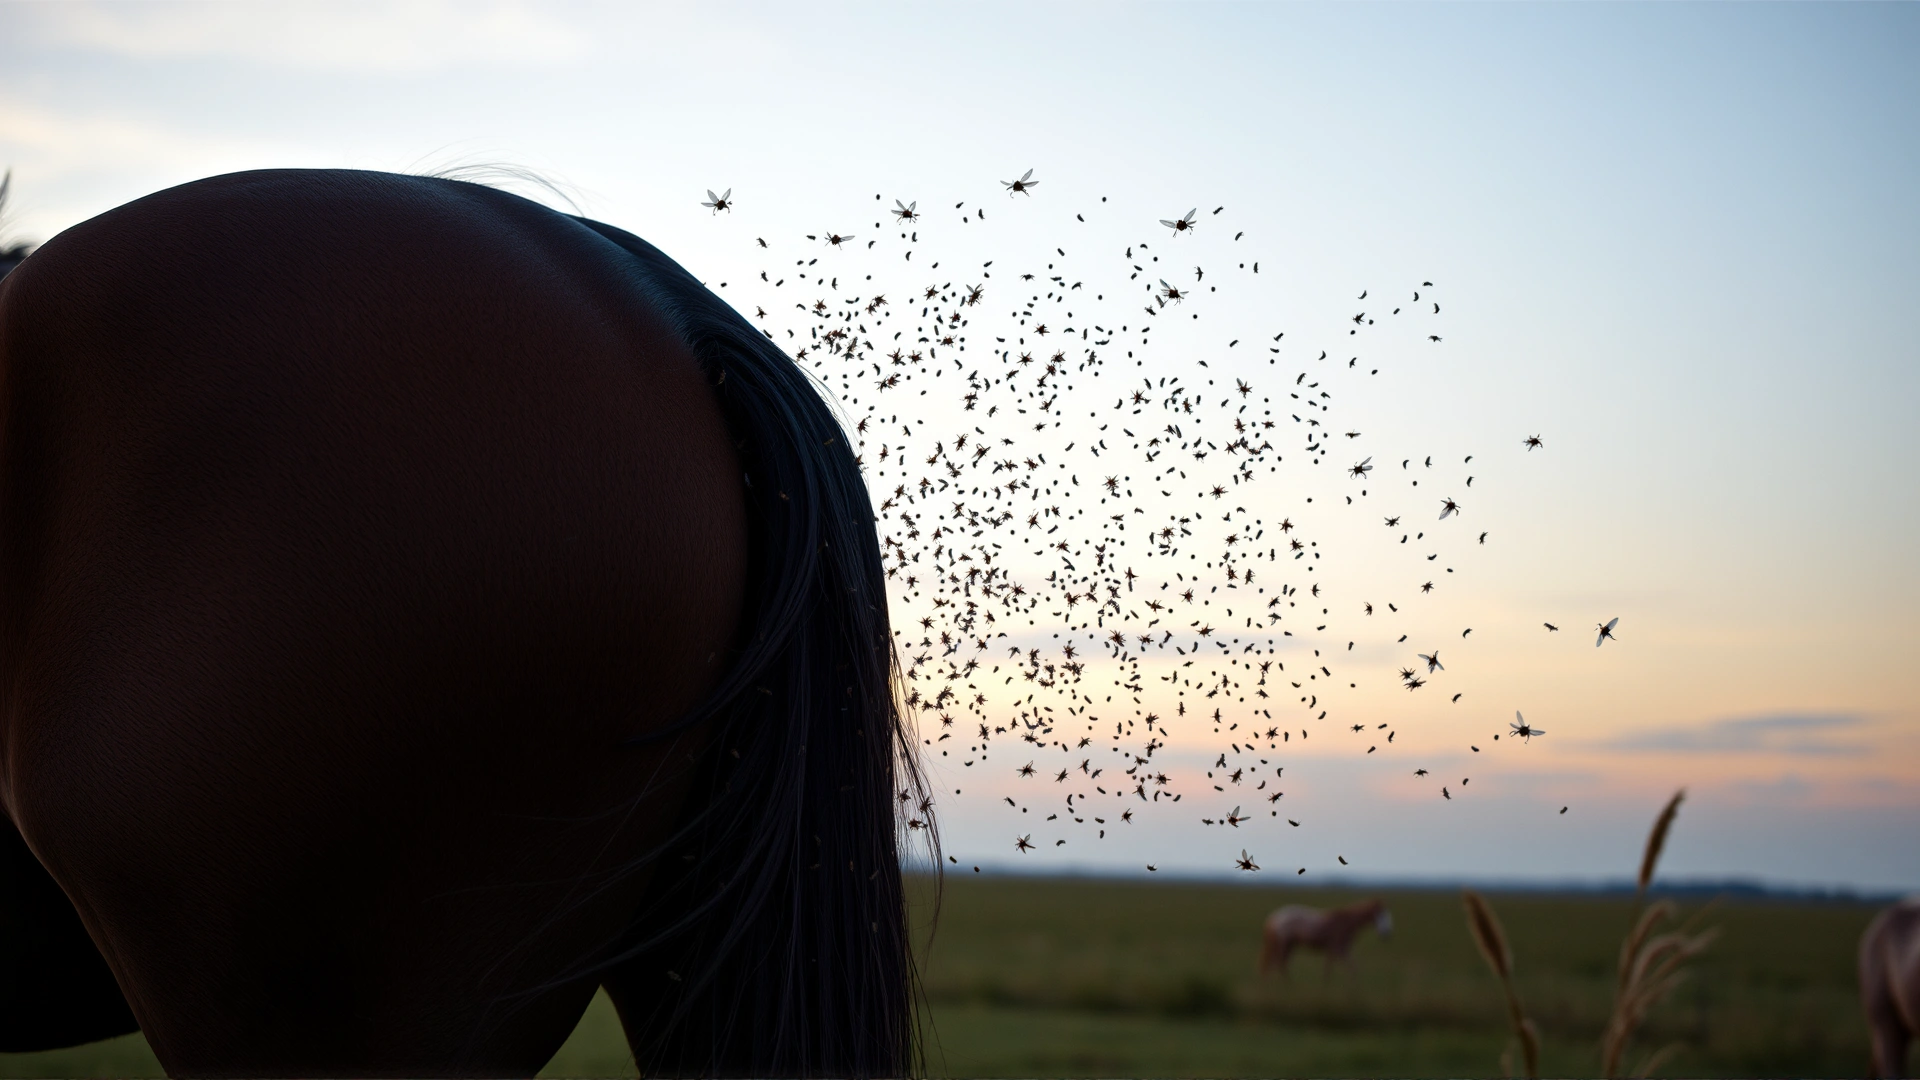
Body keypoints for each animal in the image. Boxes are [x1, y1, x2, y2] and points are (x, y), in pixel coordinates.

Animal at [1258, 898, 1392, 978]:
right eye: (1380, 915)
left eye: (1387, 915)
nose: (1386, 934)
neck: (1347, 922)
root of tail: (1273, 918)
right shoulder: (1336, 949)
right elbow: (1330, 970)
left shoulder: (1343, 950)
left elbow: (1352, 969)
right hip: (1284, 945)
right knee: (1279, 965)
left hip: (1289, 946)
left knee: (1279, 965)